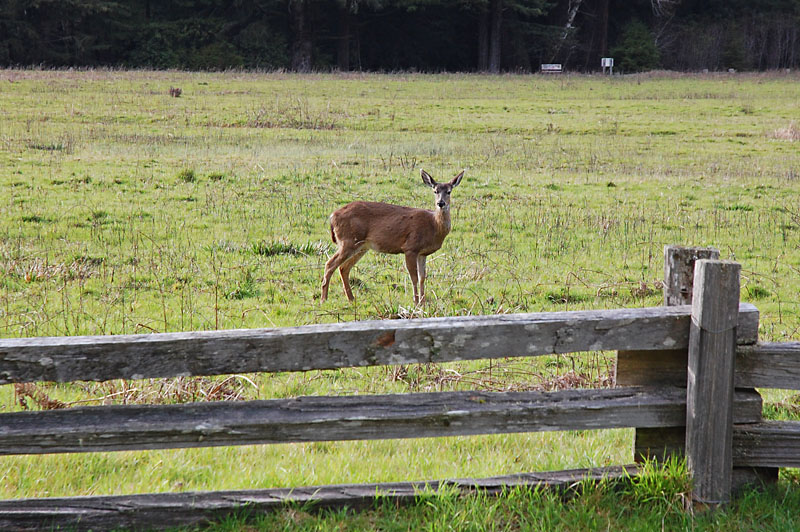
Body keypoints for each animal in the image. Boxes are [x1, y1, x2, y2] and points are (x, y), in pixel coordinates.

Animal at [321, 169, 464, 306]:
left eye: (449, 191)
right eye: (435, 191)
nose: (441, 203)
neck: (433, 225)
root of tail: (332, 216)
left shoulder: (422, 253)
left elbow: (422, 277)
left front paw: (423, 303)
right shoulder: (410, 247)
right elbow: (414, 277)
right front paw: (416, 302)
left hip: (362, 246)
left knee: (343, 268)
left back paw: (351, 299)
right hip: (348, 241)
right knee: (330, 264)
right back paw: (324, 299)